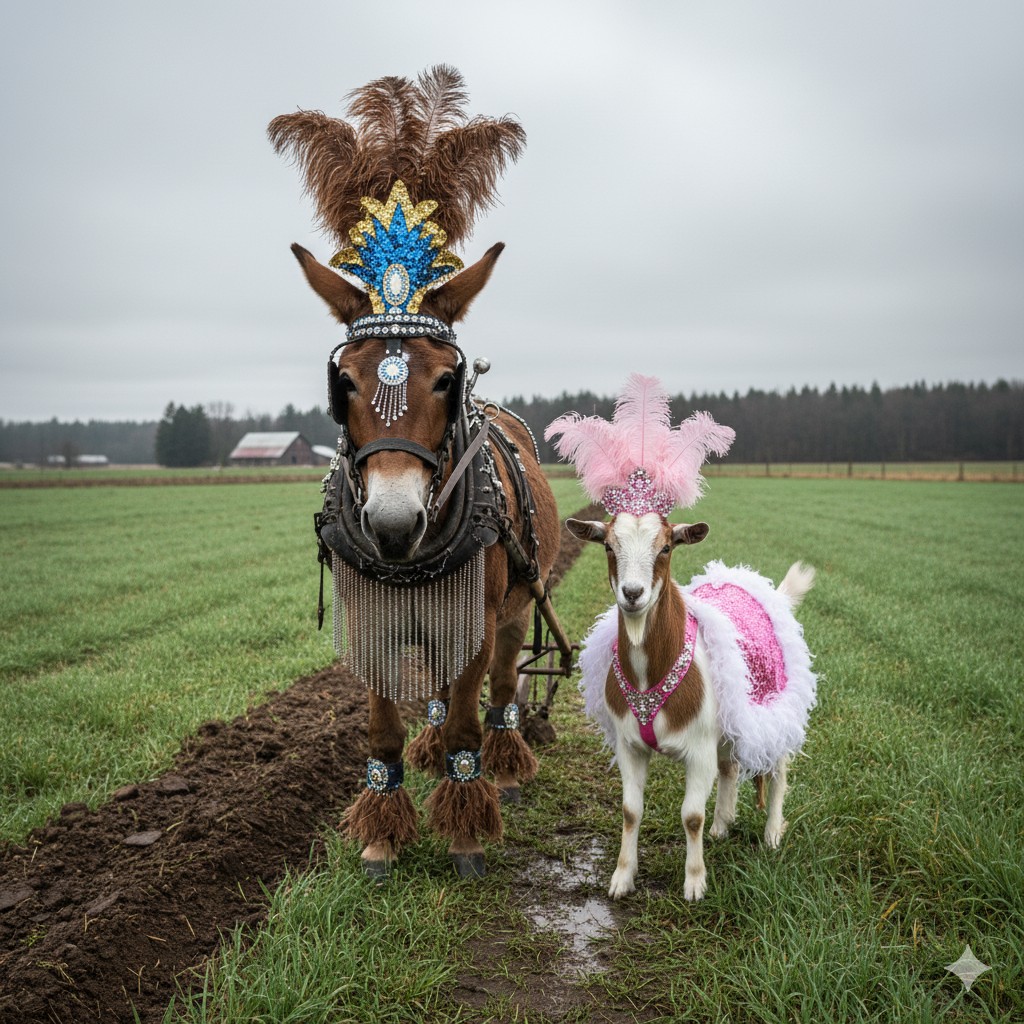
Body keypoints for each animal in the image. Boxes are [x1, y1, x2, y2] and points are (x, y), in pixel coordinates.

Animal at [568, 512, 816, 901]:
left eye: (666, 548)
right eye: (607, 545)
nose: (633, 594)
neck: (650, 676)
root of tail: (767, 591)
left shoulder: (699, 751)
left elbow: (691, 817)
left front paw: (695, 884)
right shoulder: (629, 746)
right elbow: (630, 811)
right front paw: (622, 879)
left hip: (776, 709)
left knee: (778, 771)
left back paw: (773, 833)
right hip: (730, 719)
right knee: (730, 766)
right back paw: (721, 825)